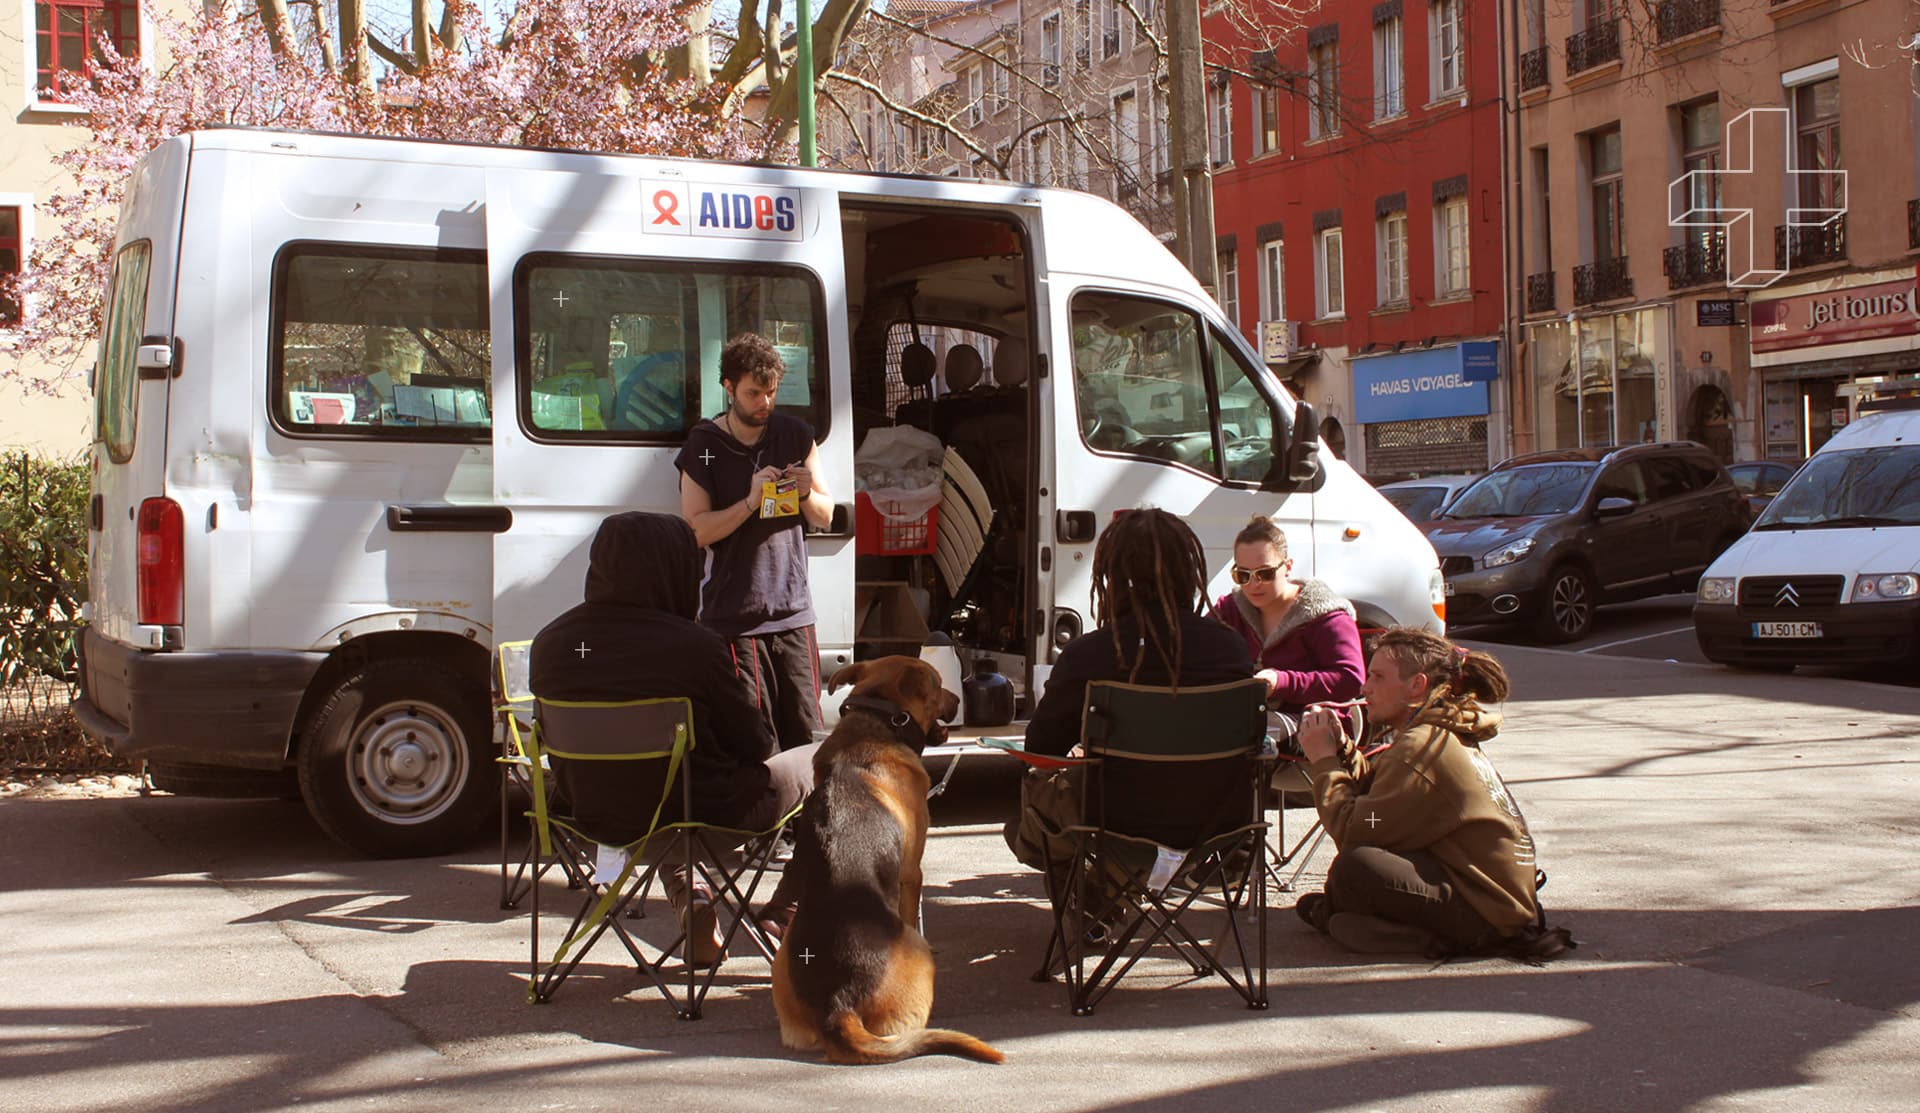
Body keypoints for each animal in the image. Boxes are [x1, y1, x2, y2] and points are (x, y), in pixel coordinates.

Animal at [768, 656, 1006, 1066]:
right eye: (938, 684)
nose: (959, 700)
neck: (877, 723)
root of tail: (837, 1007)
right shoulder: (912, 873)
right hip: (917, 949)